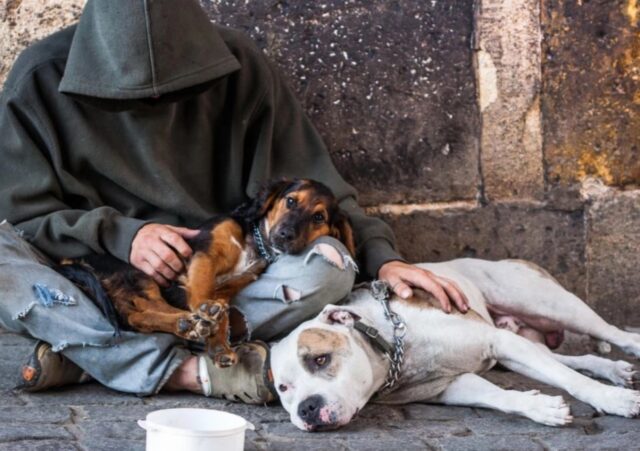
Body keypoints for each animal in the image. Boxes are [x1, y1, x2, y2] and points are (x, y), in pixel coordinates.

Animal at [59, 179, 356, 368]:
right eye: (291, 201)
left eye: (318, 217)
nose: (285, 235)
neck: (255, 243)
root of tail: (71, 260)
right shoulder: (204, 254)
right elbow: (201, 289)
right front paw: (206, 312)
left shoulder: (230, 286)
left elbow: (221, 315)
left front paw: (220, 347)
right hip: (138, 273)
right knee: (141, 311)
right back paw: (189, 322)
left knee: (141, 316)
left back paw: (188, 325)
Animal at [270, 260, 640, 432]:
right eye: (284, 388)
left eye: (321, 359)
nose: (306, 408)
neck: (393, 349)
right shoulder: (449, 386)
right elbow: (497, 397)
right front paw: (540, 407)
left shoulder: (497, 341)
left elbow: (572, 381)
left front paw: (614, 400)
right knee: (570, 358)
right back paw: (614, 370)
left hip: (549, 303)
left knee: (611, 333)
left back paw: (627, 356)